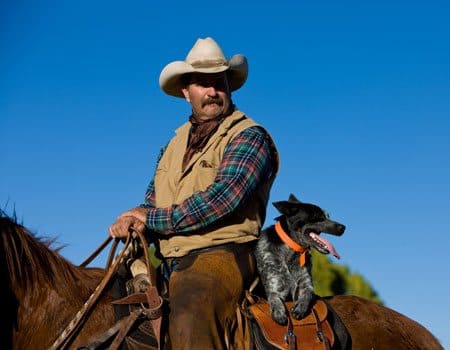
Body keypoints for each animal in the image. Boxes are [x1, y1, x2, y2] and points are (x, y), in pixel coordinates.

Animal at [255, 194, 346, 326]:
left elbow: (308, 294)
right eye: (318, 217)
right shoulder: (275, 286)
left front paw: (300, 308)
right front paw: (279, 312)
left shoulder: (305, 283)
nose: (343, 227)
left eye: (328, 216)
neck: (291, 252)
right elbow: (273, 297)